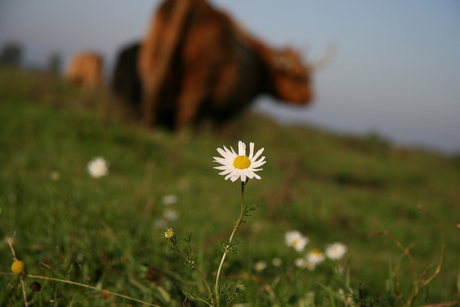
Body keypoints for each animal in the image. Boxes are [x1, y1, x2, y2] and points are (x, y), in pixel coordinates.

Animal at [138, 0, 328, 130]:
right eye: (299, 77)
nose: (310, 97)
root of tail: (197, 4)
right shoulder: (232, 109)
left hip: (152, 63)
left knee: (151, 98)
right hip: (199, 79)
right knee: (186, 110)